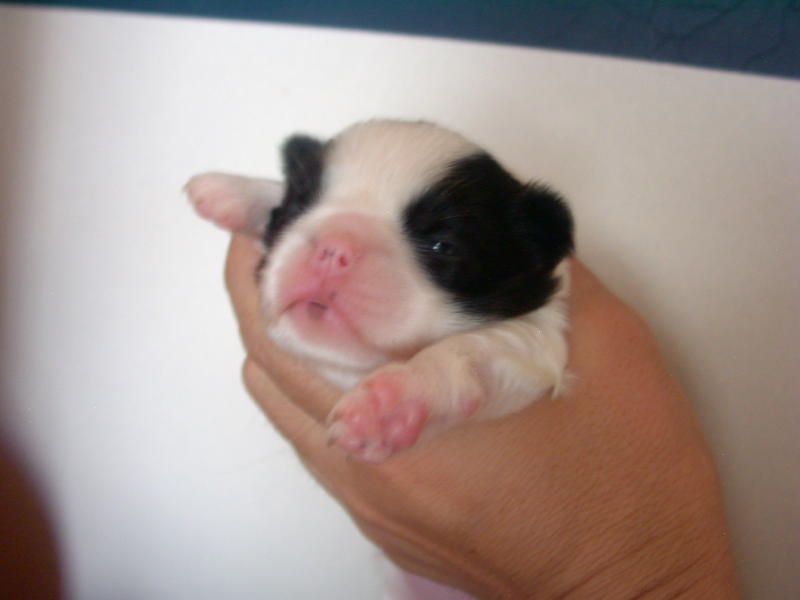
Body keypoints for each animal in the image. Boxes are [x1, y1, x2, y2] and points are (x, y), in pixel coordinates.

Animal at [186, 120, 573, 463]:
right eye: (295, 209)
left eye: (442, 246)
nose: (334, 249)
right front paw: (231, 189)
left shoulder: (541, 339)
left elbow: (477, 347)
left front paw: (394, 401)